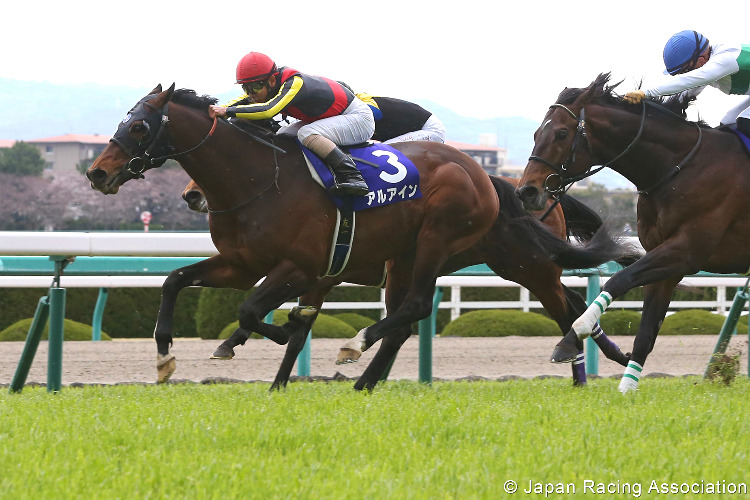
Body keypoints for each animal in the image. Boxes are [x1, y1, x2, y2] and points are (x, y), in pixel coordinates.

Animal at [182, 174, 636, 388]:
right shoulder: (317, 273)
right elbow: (293, 324)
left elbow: (293, 327)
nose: (192, 195)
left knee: (566, 308)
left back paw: (583, 366)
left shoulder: (318, 270)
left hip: (527, 265)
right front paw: (242, 351)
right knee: (573, 305)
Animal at [520, 73, 750, 394]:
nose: (526, 192)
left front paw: (572, 336)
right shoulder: (666, 259)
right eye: (535, 134)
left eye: (562, 134)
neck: (679, 169)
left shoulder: (687, 249)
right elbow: (646, 333)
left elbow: (619, 280)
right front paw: (626, 390)